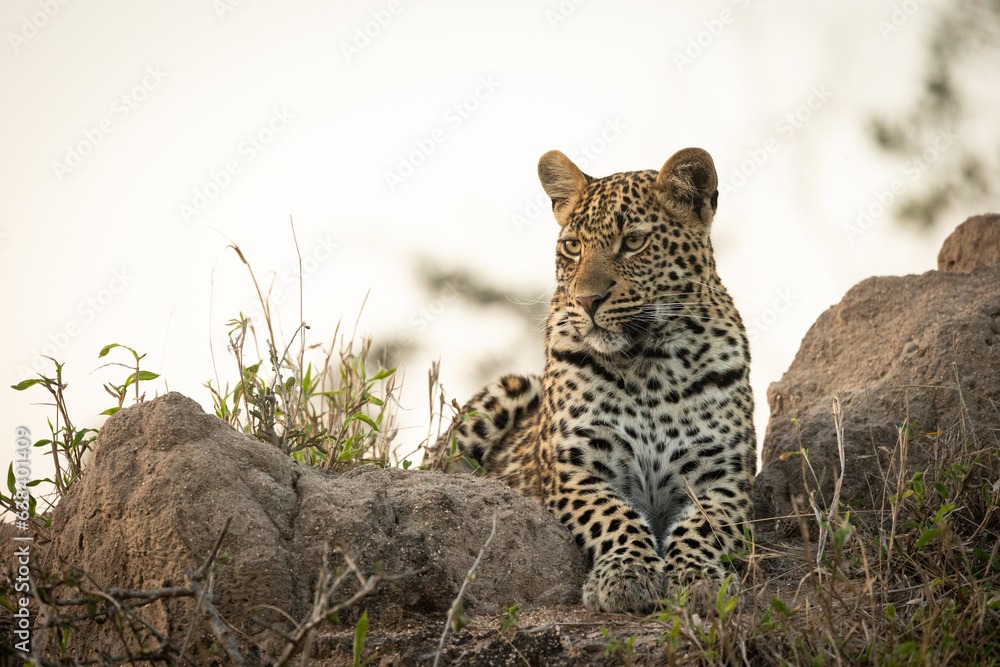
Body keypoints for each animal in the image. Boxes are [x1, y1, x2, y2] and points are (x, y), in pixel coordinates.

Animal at [428, 147, 756, 614]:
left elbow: (704, 526)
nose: (587, 300)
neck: (649, 362)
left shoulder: (724, 477)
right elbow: (613, 515)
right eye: (572, 246)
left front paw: (698, 578)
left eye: (633, 242)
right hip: (507, 392)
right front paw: (626, 575)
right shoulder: (576, 469)